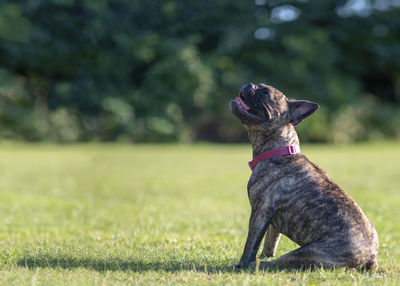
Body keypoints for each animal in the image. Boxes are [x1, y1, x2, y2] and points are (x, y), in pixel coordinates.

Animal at [230, 82, 380, 270]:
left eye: (265, 93)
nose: (250, 84)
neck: (279, 150)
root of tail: (370, 257)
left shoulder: (259, 212)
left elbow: (251, 243)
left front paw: (241, 264)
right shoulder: (271, 221)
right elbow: (270, 241)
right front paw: (265, 254)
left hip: (303, 253)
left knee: (278, 263)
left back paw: (256, 265)